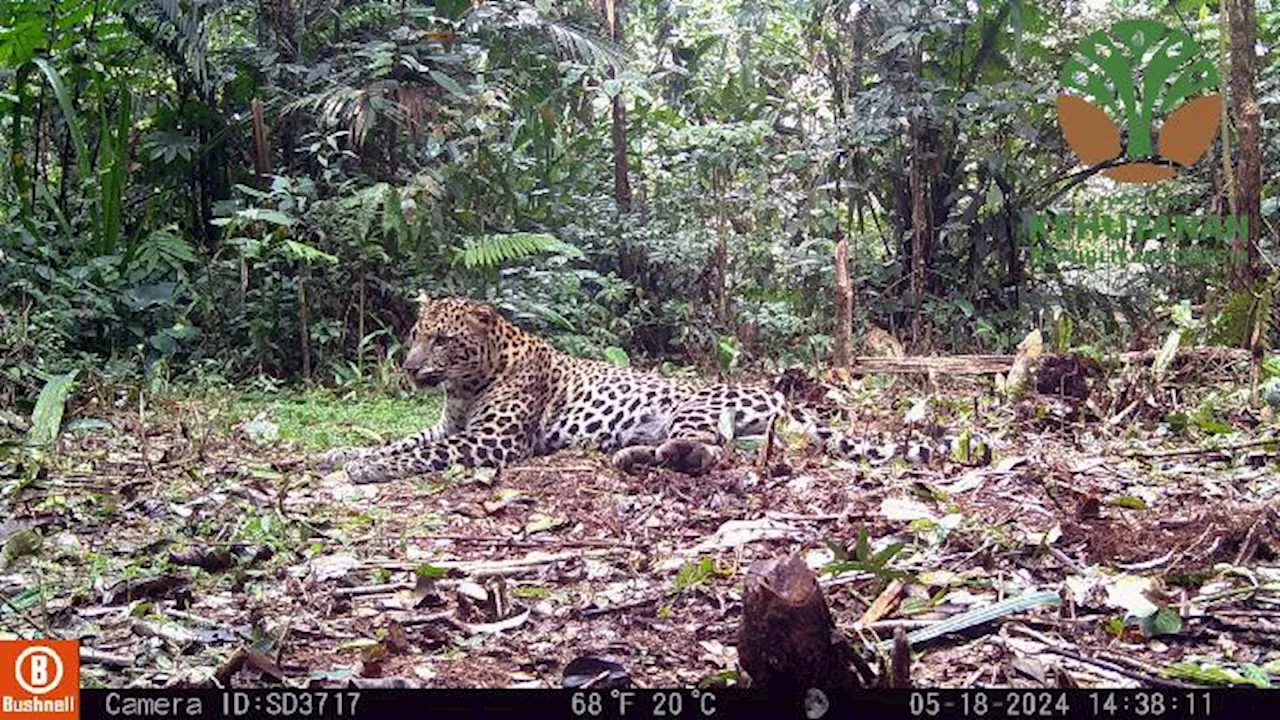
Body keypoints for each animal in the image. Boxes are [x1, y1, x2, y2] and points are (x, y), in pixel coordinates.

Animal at [320, 292, 977, 481]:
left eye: (442, 341)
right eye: (415, 335)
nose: (410, 368)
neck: (465, 383)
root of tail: (780, 394)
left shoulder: (492, 442)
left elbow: (423, 454)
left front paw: (362, 468)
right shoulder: (448, 423)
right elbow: (407, 441)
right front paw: (341, 453)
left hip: (695, 406)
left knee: (710, 453)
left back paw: (647, 455)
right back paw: (631, 454)